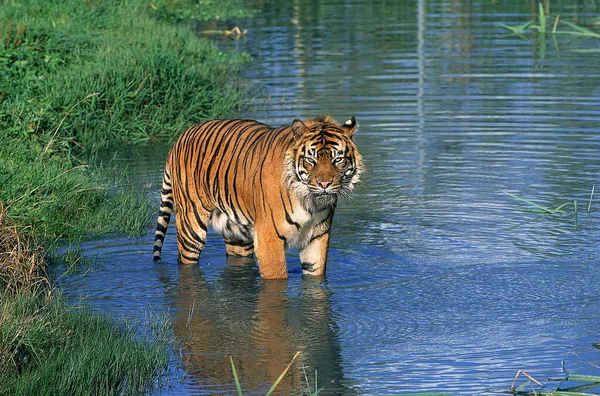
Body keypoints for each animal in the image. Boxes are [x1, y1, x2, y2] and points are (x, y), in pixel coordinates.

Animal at [152, 116, 364, 280]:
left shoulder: (317, 236)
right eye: (310, 160)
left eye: (338, 159)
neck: (310, 201)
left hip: (237, 235)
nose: (324, 184)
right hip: (191, 224)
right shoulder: (269, 238)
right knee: (185, 260)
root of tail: (180, 138)